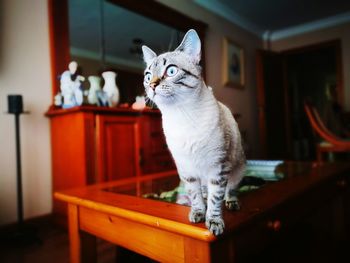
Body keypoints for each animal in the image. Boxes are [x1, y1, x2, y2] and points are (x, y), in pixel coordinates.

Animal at [141, 29, 245, 237]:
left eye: (171, 71)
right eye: (148, 76)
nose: (152, 85)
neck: (181, 117)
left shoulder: (218, 167)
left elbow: (215, 199)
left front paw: (213, 222)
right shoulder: (186, 169)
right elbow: (195, 195)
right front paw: (197, 213)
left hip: (238, 168)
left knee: (229, 189)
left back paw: (231, 202)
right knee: (204, 191)